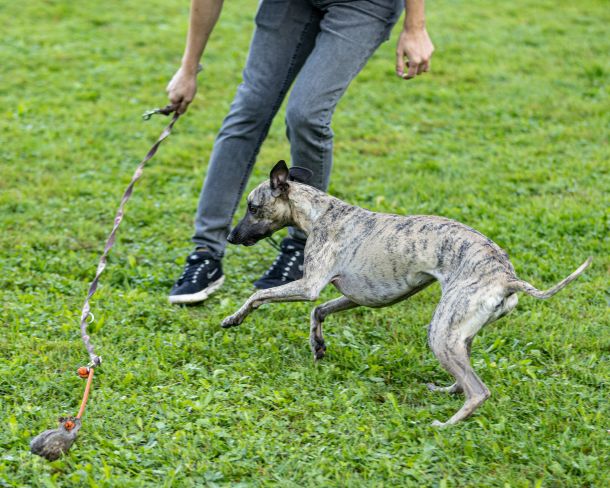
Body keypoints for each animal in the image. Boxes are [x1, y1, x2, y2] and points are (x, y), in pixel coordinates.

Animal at [223, 160, 591, 426]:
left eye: (252, 207)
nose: (229, 237)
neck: (321, 213)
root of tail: (507, 279)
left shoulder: (309, 285)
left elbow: (259, 297)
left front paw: (233, 319)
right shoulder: (353, 296)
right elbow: (319, 311)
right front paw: (318, 345)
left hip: (441, 333)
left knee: (478, 391)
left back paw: (446, 425)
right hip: (458, 335)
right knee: (463, 378)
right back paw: (444, 390)